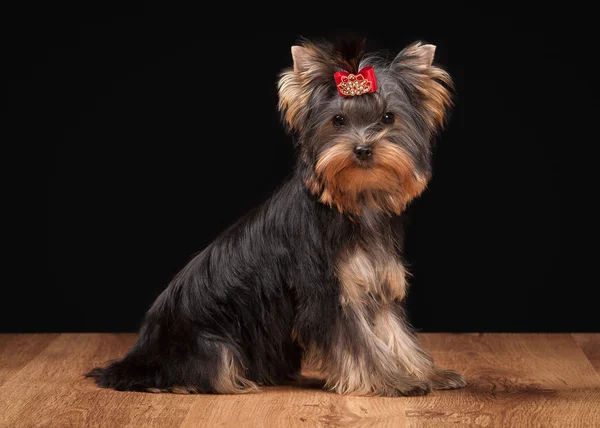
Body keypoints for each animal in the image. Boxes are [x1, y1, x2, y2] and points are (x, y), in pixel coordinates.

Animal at [86, 38, 466, 396]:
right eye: (338, 120)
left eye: (388, 117)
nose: (362, 149)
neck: (355, 203)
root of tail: (139, 354)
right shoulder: (326, 290)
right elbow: (359, 342)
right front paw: (393, 381)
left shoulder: (377, 282)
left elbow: (394, 333)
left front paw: (426, 374)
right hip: (206, 345)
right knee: (198, 367)